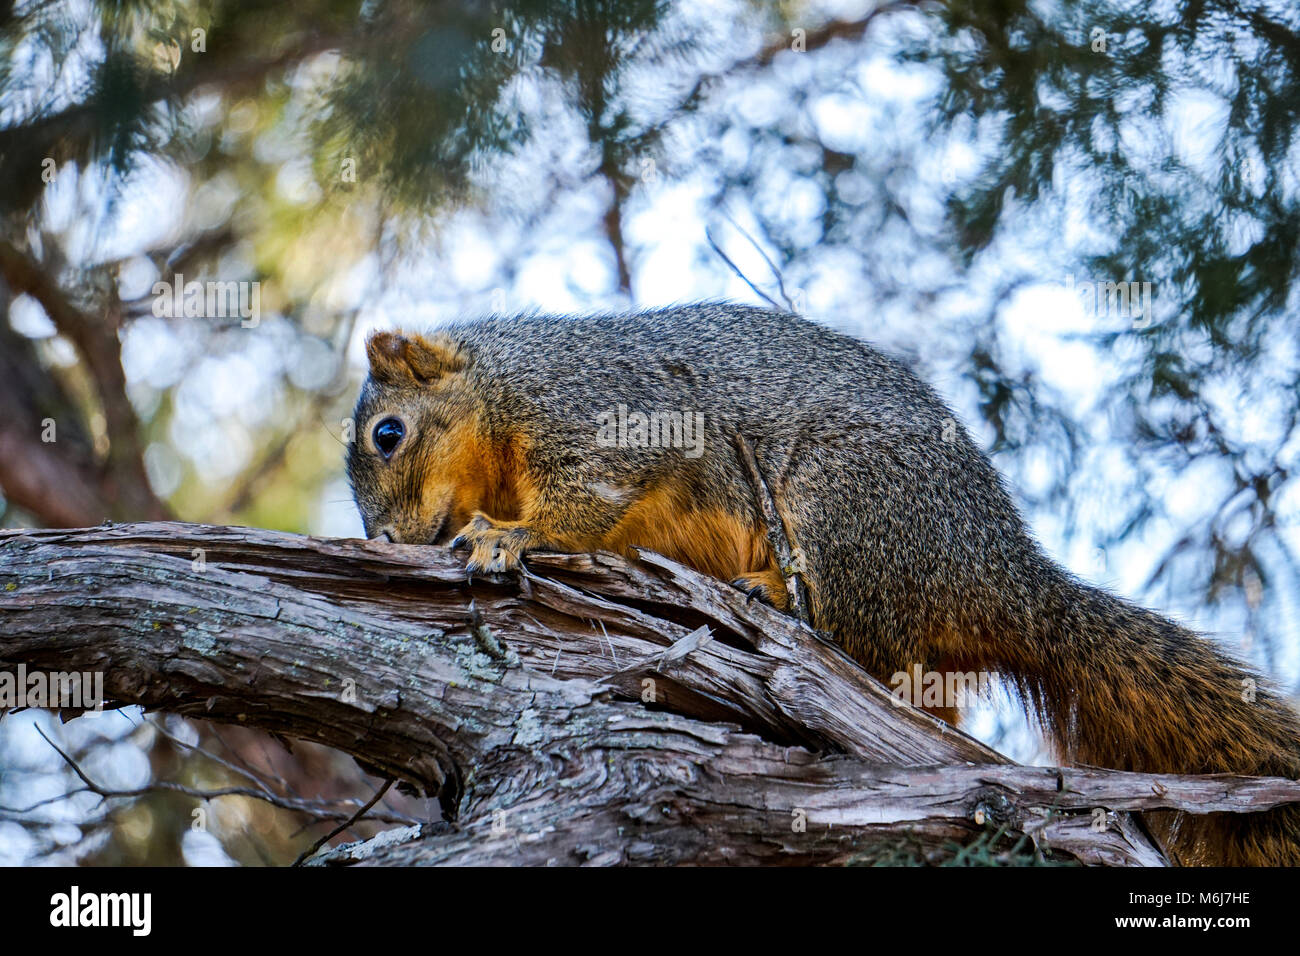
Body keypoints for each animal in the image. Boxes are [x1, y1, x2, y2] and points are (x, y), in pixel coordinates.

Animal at [345, 304, 1300, 868]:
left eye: (388, 434)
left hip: (843, 500)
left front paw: (509, 536)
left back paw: (775, 594)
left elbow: (589, 494)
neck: (499, 392)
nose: (385, 541)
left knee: (853, 626)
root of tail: (997, 571)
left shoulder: (594, 411)